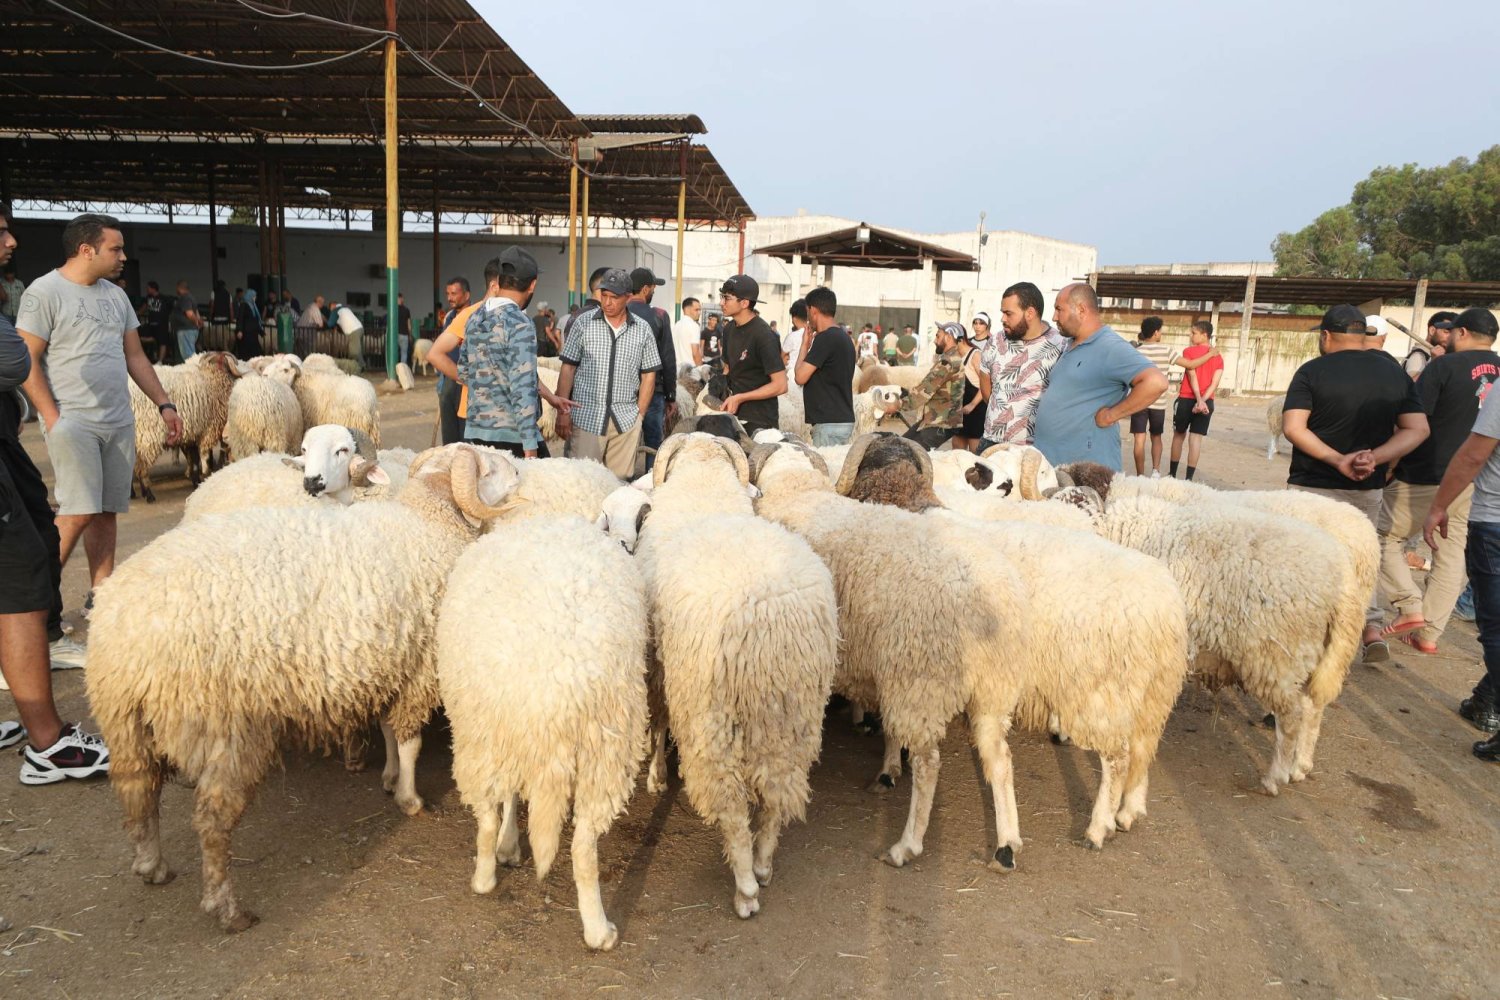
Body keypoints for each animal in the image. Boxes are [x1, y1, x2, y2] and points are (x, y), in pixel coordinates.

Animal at [87, 443, 525, 929]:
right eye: (487, 468)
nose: (520, 472)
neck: (428, 524)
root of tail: (124, 625)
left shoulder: (387, 662)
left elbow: (390, 732)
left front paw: (389, 778)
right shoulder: (419, 670)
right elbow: (409, 739)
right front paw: (410, 799)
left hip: (124, 719)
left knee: (137, 790)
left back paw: (152, 865)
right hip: (224, 725)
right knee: (211, 820)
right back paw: (227, 908)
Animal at [435, 515, 645, 953]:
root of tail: (554, 688)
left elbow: (510, 798)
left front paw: (508, 845)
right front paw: (510, 846)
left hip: (483, 737)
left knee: (490, 818)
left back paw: (485, 880)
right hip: (601, 748)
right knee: (582, 847)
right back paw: (597, 931)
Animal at [636, 434, 846, 917]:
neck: (703, 481)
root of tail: (767, 619)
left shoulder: (659, 666)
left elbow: (658, 722)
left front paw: (656, 777)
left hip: (713, 720)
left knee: (730, 805)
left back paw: (746, 886)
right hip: (794, 717)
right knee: (777, 793)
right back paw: (764, 863)